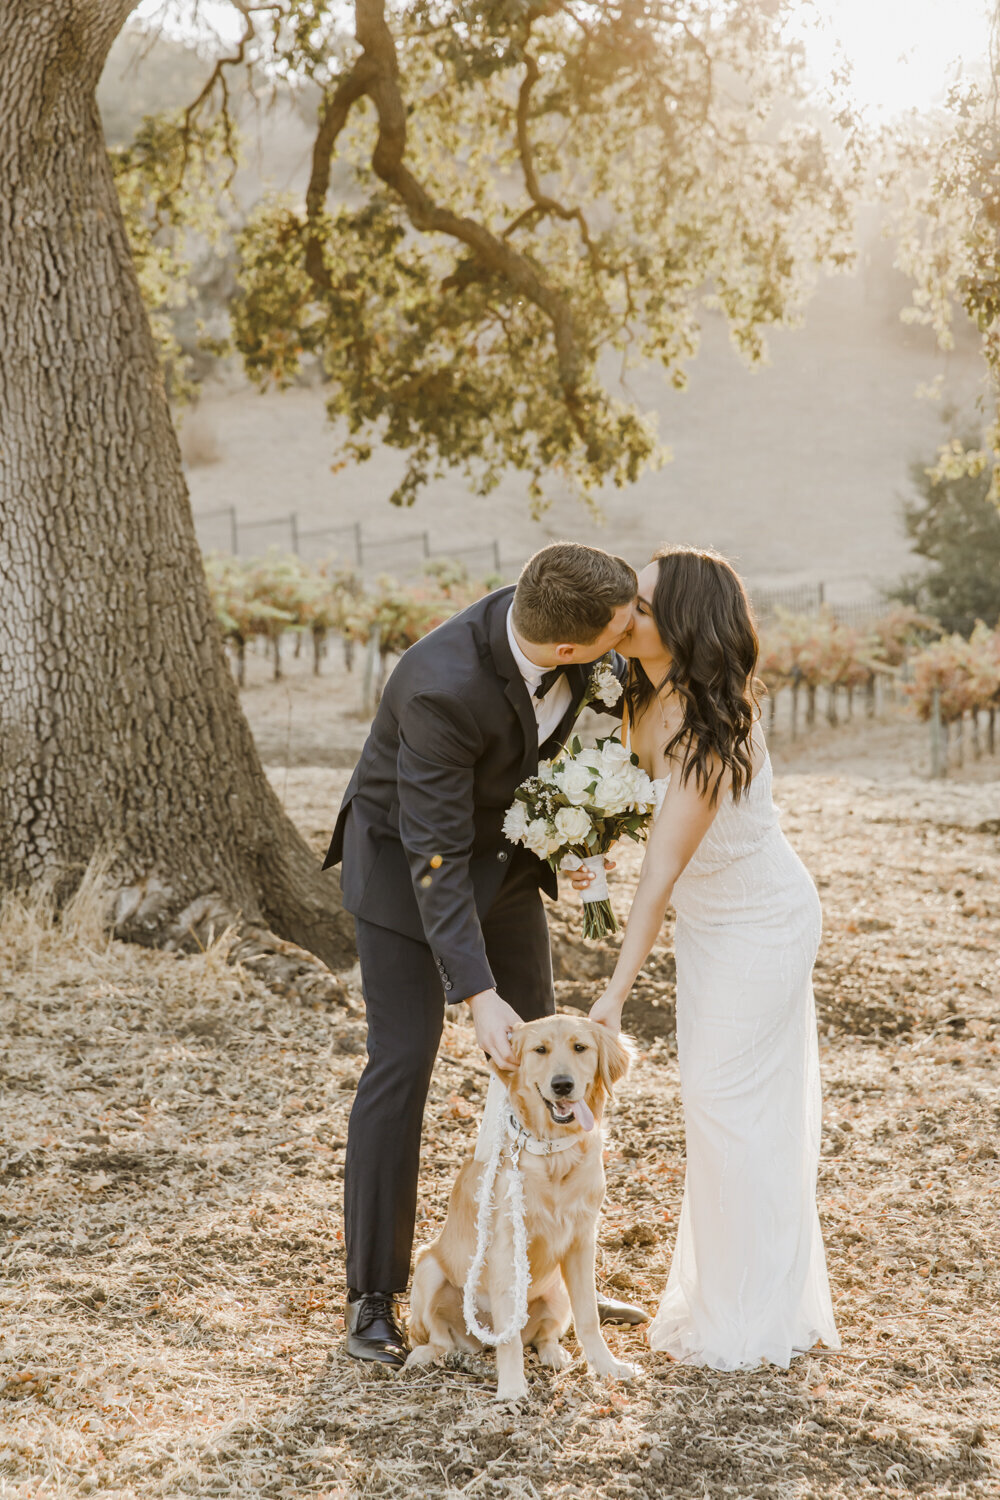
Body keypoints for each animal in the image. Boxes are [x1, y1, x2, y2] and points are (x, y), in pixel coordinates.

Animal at [404, 1014, 632, 1398]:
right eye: (540, 1050)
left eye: (580, 1047)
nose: (562, 1085)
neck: (553, 1153)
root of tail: (478, 1340)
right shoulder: (506, 1246)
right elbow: (508, 1336)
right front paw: (512, 1389)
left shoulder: (581, 1241)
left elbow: (589, 1316)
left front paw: (607, 1366)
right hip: (428, 1269)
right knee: (442, 1340)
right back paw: (424, 1355)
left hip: (557, 1292)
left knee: (542, 1335)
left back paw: (554, 1353)